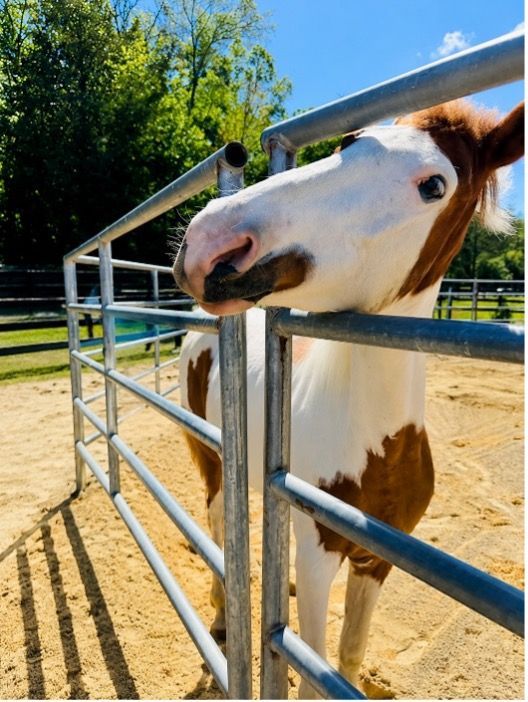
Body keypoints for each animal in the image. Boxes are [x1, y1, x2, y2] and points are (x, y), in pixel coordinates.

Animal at [172, 99, 524, 697]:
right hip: (213, 458)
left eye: (434, 185)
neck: (376, 448)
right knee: (217, 522)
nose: (211, 240)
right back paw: (220, 616)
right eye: (348, 142)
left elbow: (350, 656)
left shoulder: (376, 561)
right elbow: (313, 668)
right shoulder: (319, 553)